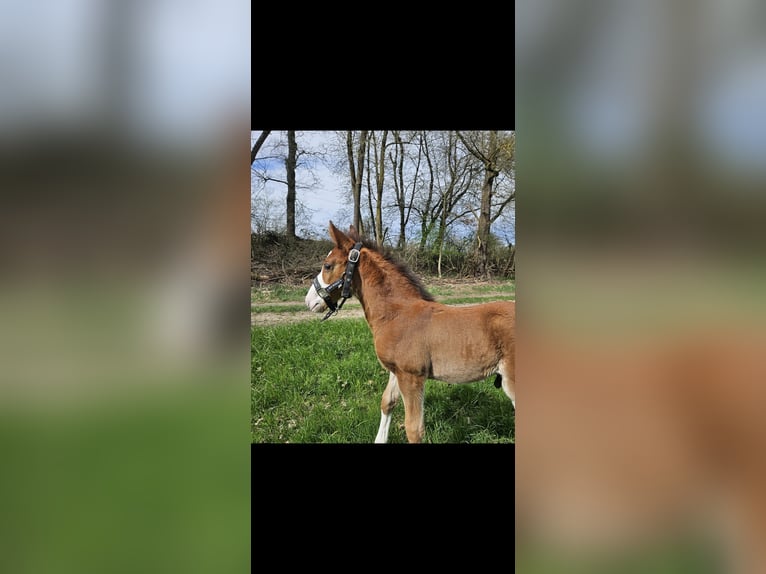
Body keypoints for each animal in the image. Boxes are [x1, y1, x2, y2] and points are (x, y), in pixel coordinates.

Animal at [304, 221, 515, 443]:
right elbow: (387, 402)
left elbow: (413, 429)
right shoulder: (396, 371)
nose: (309, 301)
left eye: (328, 265)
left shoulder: (412, 376)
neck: (396, 314)